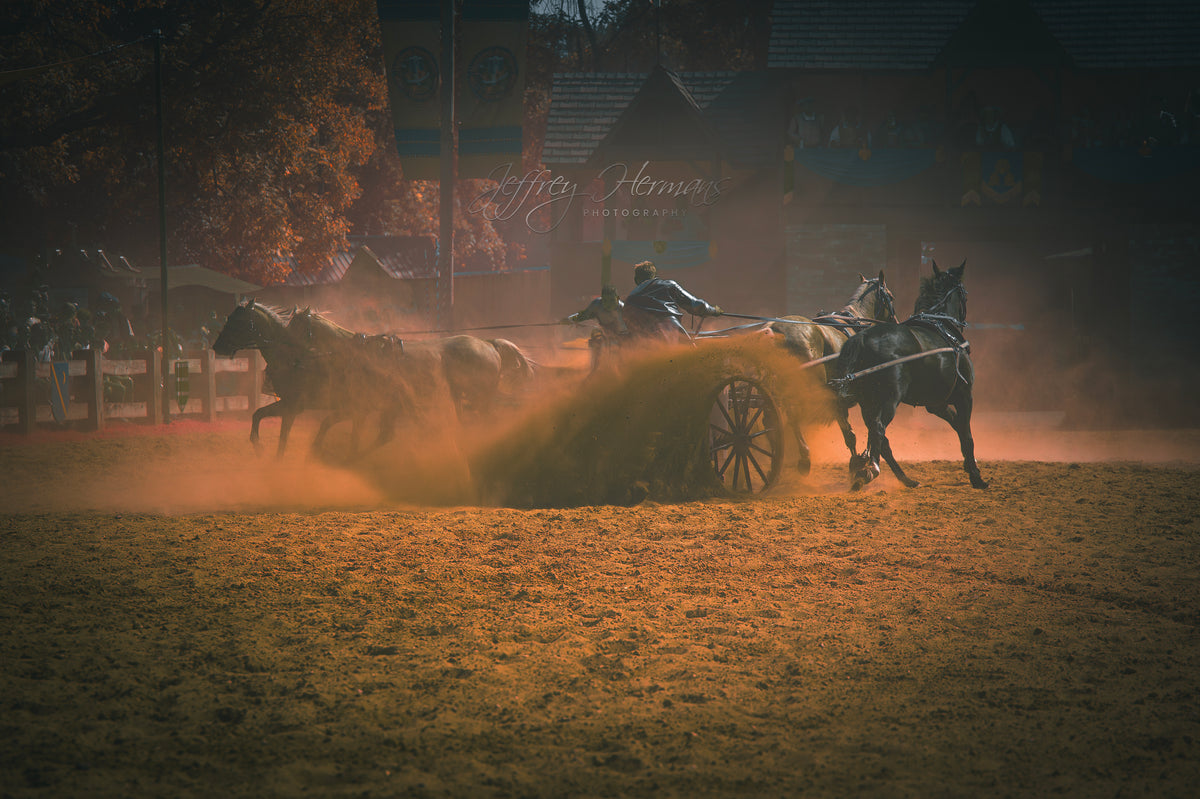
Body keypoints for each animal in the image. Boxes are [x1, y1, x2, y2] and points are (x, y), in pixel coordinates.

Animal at [767, 271, 897, 474]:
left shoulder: (839, 398)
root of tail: (776, 331)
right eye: (890, 297)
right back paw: (804, 456)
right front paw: (860, 461)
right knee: (794, 416)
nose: (896, 321)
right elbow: (858, 431)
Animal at [832, 259, 988, 490]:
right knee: (878, 429)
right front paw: (976, 475)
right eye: (964, 294)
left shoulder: (936, 403)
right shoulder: (964, 395)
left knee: (879, 437)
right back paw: (872, 469)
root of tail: (862, 338)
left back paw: (903, 478)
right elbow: (967, 434)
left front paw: (970, 465)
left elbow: (958, 425)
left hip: (867, 401)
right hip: (888, 399)